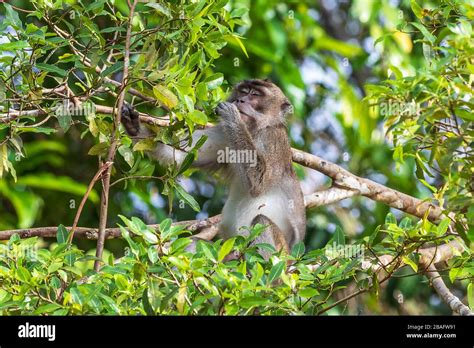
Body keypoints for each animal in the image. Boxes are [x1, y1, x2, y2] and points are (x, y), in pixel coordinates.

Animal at [121, 79, 308, 258]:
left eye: (255, 94)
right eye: (243, 91)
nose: (240, 100)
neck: (254, 131)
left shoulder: (272, 139)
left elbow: (259, 184)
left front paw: (233, 117)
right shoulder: (223, 135)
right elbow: (178, 154)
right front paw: (133, 125)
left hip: (280, 256)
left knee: (262, 221)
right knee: (195, 243)